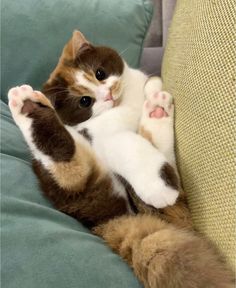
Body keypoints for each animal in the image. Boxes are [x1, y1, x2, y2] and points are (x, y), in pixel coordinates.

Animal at [7, 30, 234, 286]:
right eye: (84, 101)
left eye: (100, 73)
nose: (108, 94)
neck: (125, 103)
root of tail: (111, 220)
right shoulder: (103, 136)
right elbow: (128, 148)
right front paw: (158, 187)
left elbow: (150, 85)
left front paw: (153, 92)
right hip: (79, 188)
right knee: (71, 171)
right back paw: (27, 104)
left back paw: (157, 110)